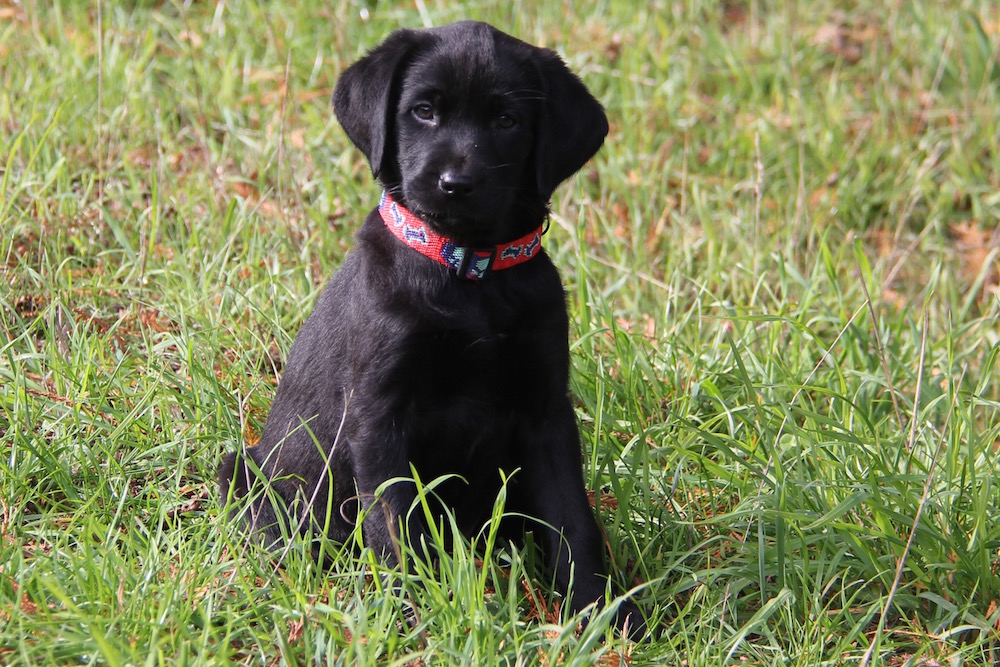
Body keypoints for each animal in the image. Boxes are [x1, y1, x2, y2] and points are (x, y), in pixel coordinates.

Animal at [218, 19, 640, 636]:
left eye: (507, 120)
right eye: (423, 111)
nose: (454, 183)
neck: (469, 272)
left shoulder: (546, 410)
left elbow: (571, 520)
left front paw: (604, 617)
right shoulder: (378, 417)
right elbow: (398, 526)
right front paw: (419, 616)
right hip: (252, 473)